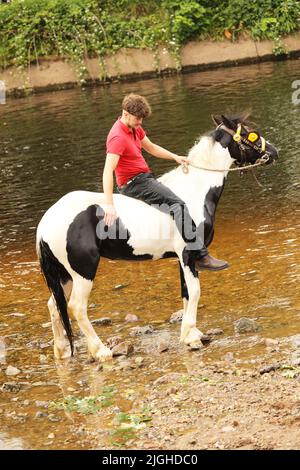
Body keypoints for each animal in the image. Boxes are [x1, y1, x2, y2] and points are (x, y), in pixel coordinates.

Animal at [36, 113, 278, 360]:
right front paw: (191, 337)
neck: (195, 190)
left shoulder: (183, 258)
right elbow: (195, 291)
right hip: (83, 271)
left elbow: (186, 293)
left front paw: (191, 333)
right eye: (251, 134)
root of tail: (46, 222)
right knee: (76, 307)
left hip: (64, 273)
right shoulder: (188, 255)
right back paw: (100, 350)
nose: (273, 153)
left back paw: (62, 350)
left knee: (54, 305)